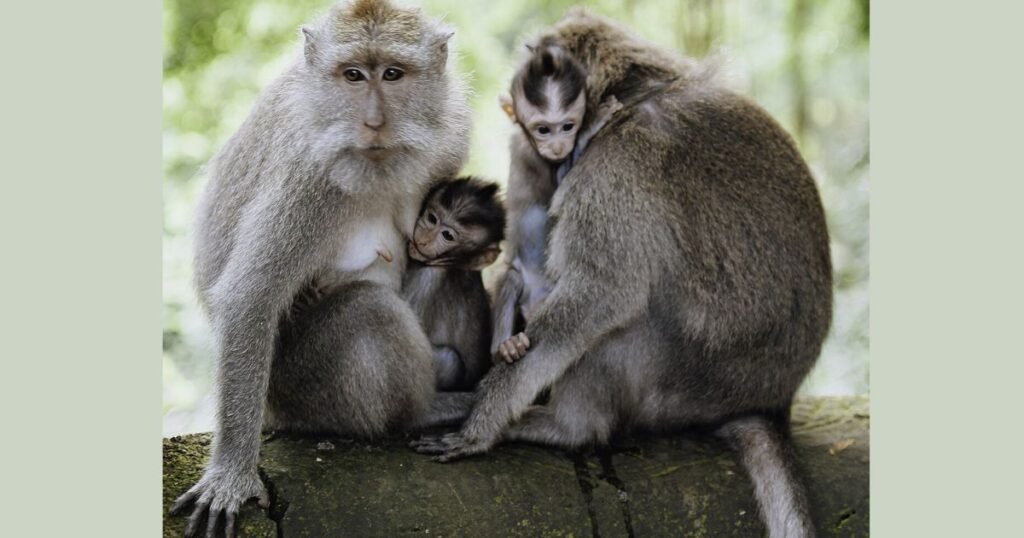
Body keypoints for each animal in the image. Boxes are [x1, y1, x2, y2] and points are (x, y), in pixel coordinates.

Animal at [170, 1, 472, 536]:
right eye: (352, 75)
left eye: (392, 74)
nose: (373, 122)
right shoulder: (307, 177)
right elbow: (251, 298)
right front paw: (231, 475)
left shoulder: (450, 135)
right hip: (303, 387)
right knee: (370, 308)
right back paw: (421, 414)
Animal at [401, 176, 507, 391]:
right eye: (432, 219)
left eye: (447, 236)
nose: (423, 241)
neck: (454, 265)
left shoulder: (429, 277)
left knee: (450, 360)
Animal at [492, 43, 623, 364]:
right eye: (543, 130)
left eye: (567, 126)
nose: (558, 146)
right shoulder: (534, 157)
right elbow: (560, 188)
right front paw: (596, 122)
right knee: (509, 278)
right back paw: (504, 347)